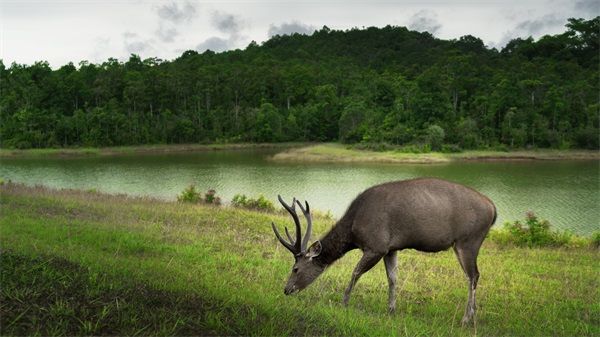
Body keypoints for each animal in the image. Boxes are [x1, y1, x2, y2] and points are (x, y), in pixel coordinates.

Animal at [272, 177, 496, 324]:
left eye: (295, 269)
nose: (286, 289)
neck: (354, 230)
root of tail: (494, 210)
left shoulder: (376, 245)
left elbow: (355, 272)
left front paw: (344, 303)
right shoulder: (391, 248)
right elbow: (393, 278)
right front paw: (391, 309)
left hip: (468, 240)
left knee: (473, 275)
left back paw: (466, 318)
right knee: (475, 276)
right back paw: (472, 316)